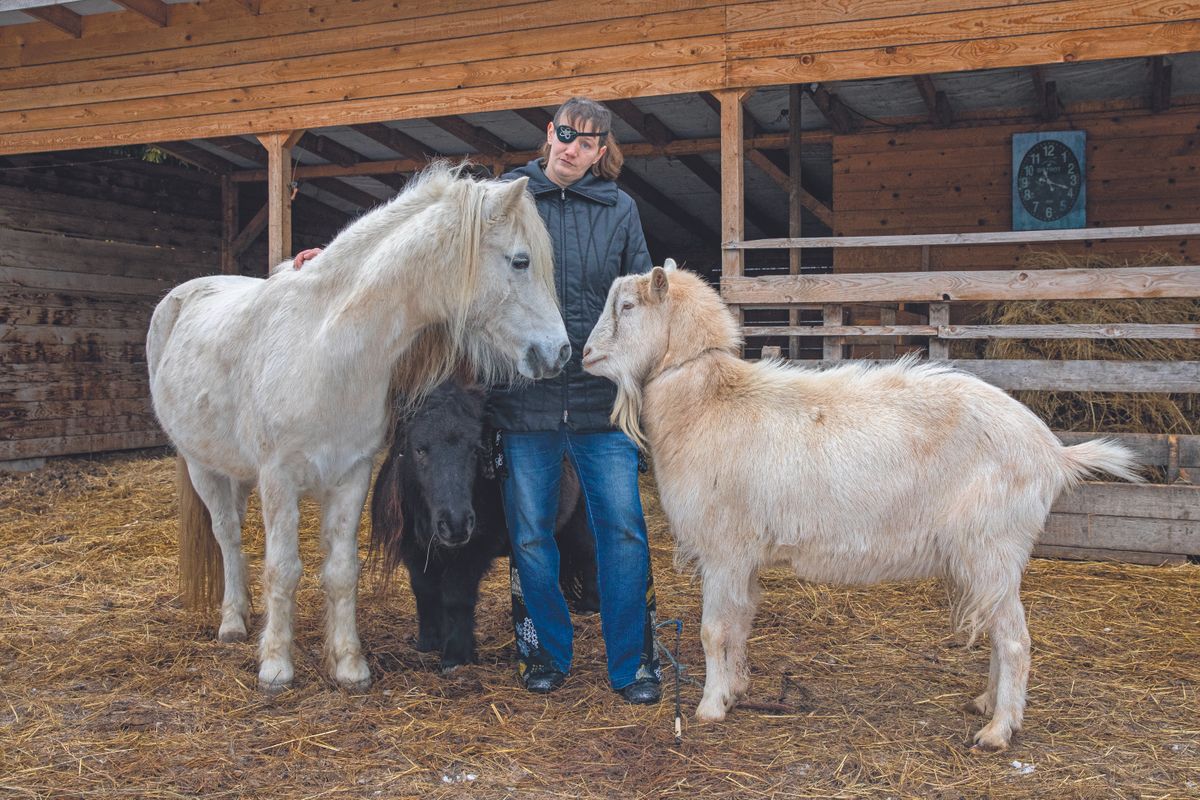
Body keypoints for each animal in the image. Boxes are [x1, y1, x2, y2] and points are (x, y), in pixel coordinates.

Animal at [147, 165, 568, 690]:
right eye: (520, 261)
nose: (560, 351)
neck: (325, 347)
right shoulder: (278, 477)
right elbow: (283, 569)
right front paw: (276, 665)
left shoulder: (352, 474)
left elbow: (342, 572)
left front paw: (349, 665)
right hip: (202, 466)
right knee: (227, 535)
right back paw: (232, 623)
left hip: (237, 472)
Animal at [369, 381, 600, 671]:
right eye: (419, 449)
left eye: (475, 449)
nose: (455, 525)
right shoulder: (415, 551)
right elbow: (424, 591)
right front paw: (428, 642)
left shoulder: (475, 551)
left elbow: (456, 597)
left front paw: (456, 656)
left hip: (577, 523)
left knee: (589, 554)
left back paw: (589, 605)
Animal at [585, 261, 1137, 753]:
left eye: (628, 306)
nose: (586, 354)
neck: (708, 400)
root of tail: (1052, 452)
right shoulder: (744, 555)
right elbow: (741, 621)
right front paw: (737, 688)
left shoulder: (725, 547)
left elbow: (714, 629)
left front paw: (710, 706)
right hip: (987, 556)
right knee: (1002, 634)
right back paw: (986, 704)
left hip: (992, 545)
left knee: (1016, 642)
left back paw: (999, 731)